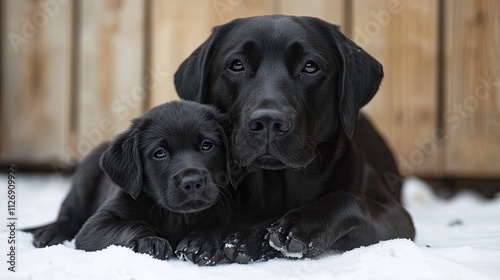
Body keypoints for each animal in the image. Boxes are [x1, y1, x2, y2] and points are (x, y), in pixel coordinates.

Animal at [30, 100, 233, 264]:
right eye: (160, 153)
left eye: (207, 145)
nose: (191, 182)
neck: (176, 217)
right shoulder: (94, 226)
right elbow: (133, 224)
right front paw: (149, 241)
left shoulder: (224, 214)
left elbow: (214, 226)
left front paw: (202, 242)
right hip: (83, 182)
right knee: (68, 217)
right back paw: (49, 233)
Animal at [174, 14, 416, 264]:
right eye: (236, 65)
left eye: (310, 67)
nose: (268, 121)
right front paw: (207, 238)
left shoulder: (397, 217)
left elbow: (350, 199)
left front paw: (292, 226)